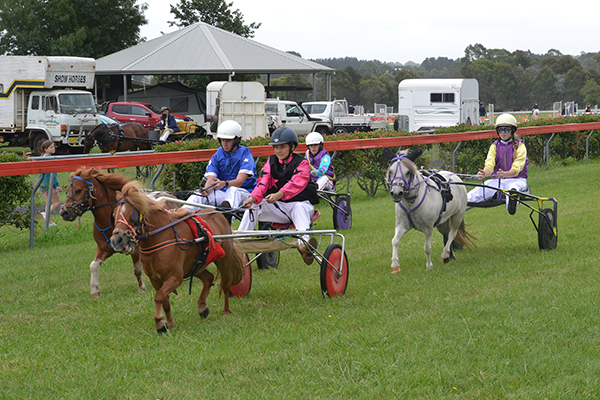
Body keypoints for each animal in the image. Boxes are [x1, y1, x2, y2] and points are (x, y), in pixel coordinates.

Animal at [59, 167, 146, 296]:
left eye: (78, 190)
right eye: (68, 190)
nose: (64, 212)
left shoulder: (134, 248)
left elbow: (137, 269)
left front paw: (141, 288)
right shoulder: (104, 248)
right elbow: (93, 266)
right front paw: (95, 290)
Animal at [110, 182, 244, 334]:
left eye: (131, 213)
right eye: (114, 214)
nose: (116, 240)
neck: (160, 237)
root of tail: (219, 214)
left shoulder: (175, 277)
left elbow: (159, 297)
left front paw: (159, 323)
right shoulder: (155, 279)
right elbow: (165, 301)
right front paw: (169, 323)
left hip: (224, 260)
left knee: (226, 284)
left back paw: (226, 310)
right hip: (196, 266)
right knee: (208, 278)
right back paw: (202, 307)